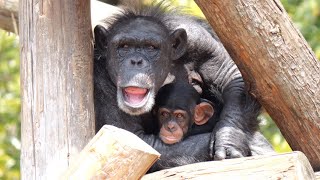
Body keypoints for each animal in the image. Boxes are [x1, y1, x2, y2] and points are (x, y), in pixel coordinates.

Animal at [94, 1, 274, 170]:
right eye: (124, 46)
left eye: (151, 47)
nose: (136, 61)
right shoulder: (101, 79)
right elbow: (140, 139)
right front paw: (250, 145)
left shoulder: (200, 41)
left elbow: (232, 74)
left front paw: (229, 139)